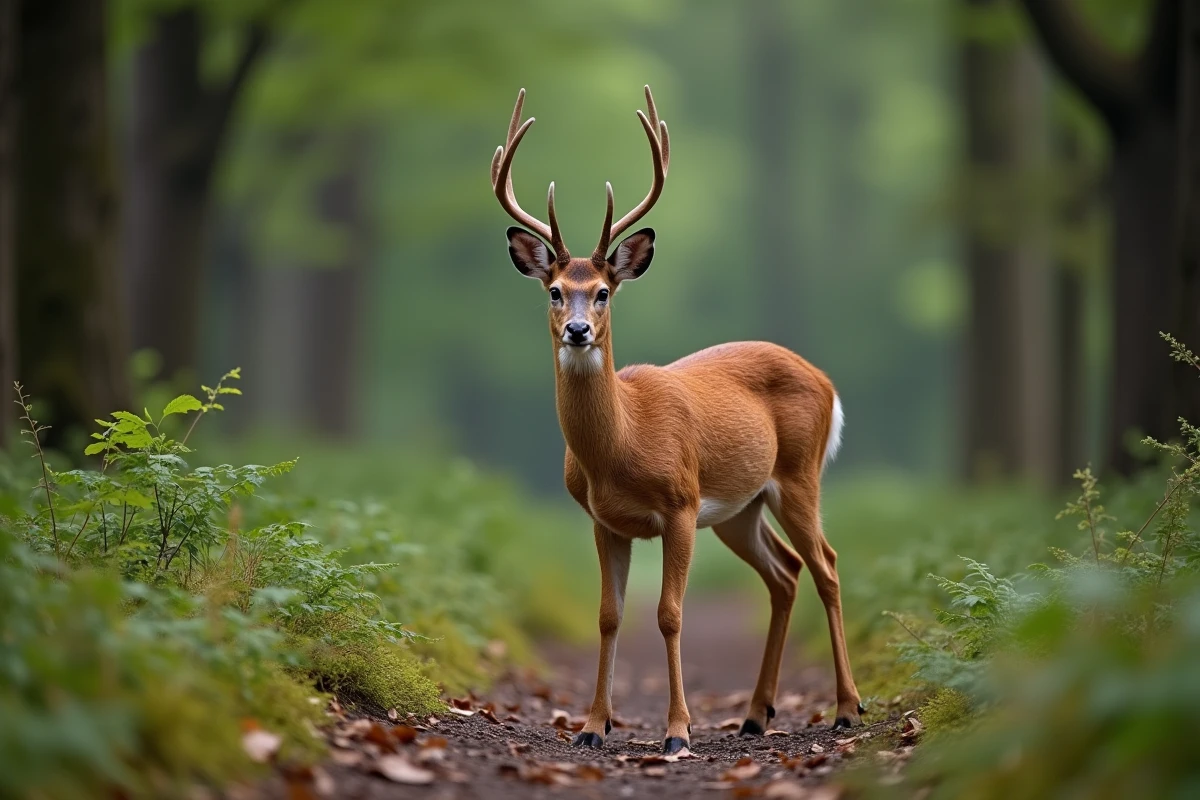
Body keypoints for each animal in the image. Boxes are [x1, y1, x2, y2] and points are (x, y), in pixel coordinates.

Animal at [490, 86, 863, 755]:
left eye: (603, 291)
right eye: (555, 291)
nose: (578, 330)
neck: (622, 444)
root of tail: (825, 380)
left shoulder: (682, 504)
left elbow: (669, 614)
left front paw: (677, 731)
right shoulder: (602, 519)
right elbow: (609, 615)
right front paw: (592, 728)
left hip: (800, 474)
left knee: (826, 565)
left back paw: (847, 708)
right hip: (742, 507)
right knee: (785, 573)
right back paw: (755, 714)